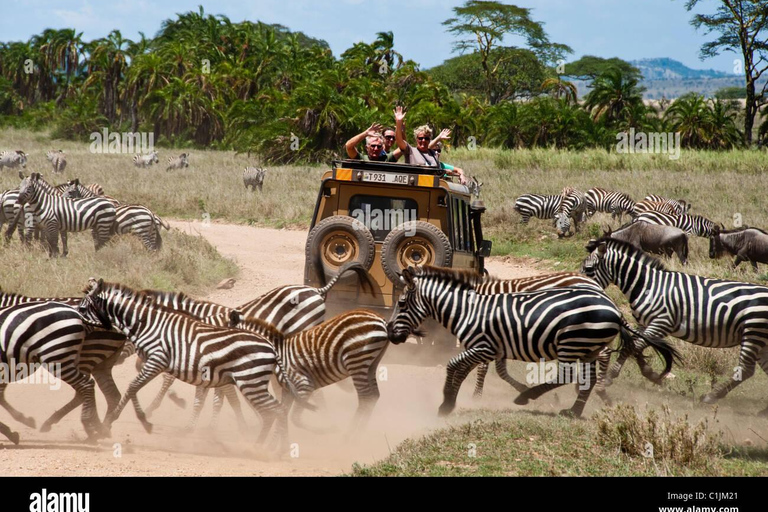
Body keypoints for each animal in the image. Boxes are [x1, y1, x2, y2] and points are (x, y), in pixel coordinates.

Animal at [76, 278, 308, 450]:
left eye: (83, 307)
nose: (77, 322)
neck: (149, 324)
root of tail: (271, 347)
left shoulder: (159, 359)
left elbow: (133, 386)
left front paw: (112, 422)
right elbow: (138, 388)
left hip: (250, 382)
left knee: (276, 409)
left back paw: (273, 449)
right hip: (252, 382)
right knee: (273, 410)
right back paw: (268, 447)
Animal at [388, 266, 676, 418]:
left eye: (401, 304)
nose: (390, 333)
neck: (468, 309)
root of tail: (614, 308)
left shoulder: (483, 346)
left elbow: (455, 366)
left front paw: (448, 402)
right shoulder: (489, 348)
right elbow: (477, 370)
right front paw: (454, 400)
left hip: (572, 341)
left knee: (567, 374)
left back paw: (529, 397)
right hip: (588, 346)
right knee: (589, 376)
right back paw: (574, 410)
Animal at [584, 237, 768, 416]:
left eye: (588, 269)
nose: (582, 287)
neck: (646, 285)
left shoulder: (662, 322)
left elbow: (633, 347)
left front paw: (610, 376)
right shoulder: (644, 324)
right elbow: (634, 349)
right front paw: (651, 374)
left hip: (753, 332)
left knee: (746, 369)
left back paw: (710, 396)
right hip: (761, 340)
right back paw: (762, 412)